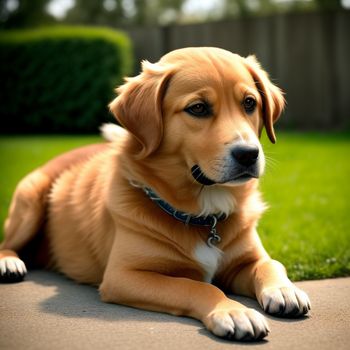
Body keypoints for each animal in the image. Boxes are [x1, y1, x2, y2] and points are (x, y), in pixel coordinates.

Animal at [0, 47, 312, 342]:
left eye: (249, 103)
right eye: (198, 108)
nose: (248, 154)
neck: (204, 214)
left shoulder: (247, 260)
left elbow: (270, 264)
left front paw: (284, 290)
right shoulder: (124, 276)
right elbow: (196, 286)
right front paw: (234, 312)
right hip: (30, 201)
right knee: (7, 243)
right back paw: (9, 262)